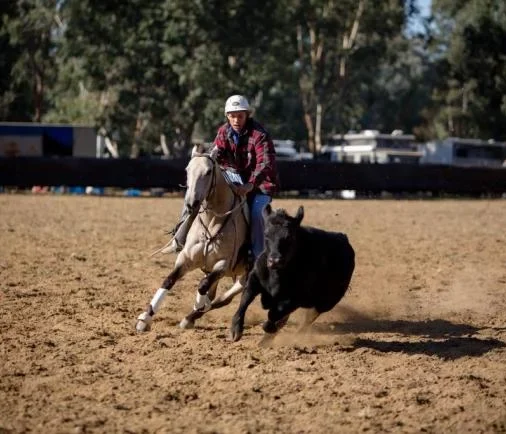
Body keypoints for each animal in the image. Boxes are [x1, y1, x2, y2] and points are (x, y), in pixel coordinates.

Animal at [135, 144, 250, 330]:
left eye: (208, 172)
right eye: (187, 170)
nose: (191, 203)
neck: (211, 223)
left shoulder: (223, 265)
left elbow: (202, 285)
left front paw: (199, 303)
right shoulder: (186, 258)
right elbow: (169, 280)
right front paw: (145, 317)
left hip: (246, 276)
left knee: (223, 298)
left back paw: (194, 313)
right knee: (216, 296)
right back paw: (190, 317)